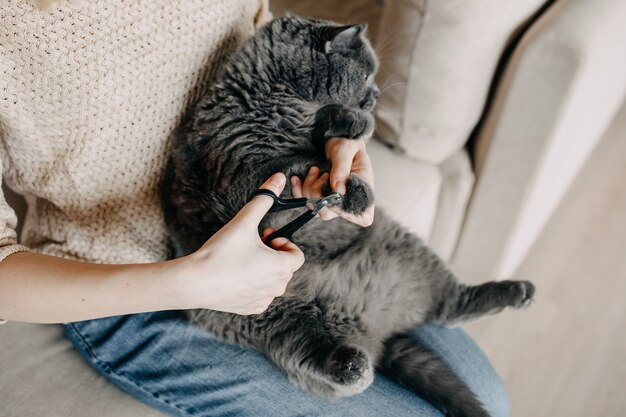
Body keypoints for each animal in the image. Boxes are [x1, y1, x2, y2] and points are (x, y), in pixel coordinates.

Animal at [161, 15, 532, 416]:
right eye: (367, 74)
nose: (377, 95)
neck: (277, 99)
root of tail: (369, 323)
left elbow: (324, 147)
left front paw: (349, 138)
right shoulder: (235, 178)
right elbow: (283, 173)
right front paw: (349, 181)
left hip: (405, 249)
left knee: (451, 305)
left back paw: (517, 292)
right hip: (263, 318)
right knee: (315, 354)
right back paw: (353, 368)